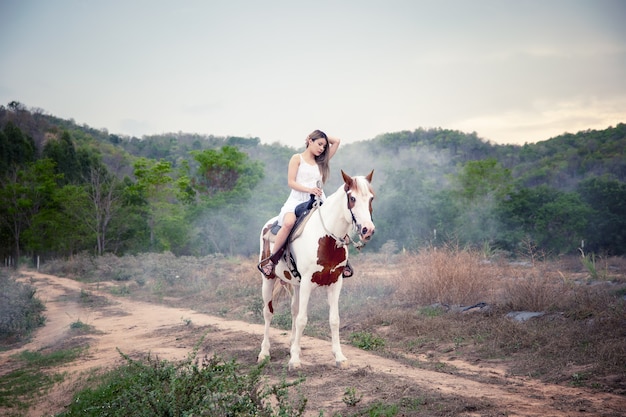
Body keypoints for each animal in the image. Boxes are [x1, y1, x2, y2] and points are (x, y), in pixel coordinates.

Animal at [256, 167, 372, 368]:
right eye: (352, 198)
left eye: (371, 198)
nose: (368, 230)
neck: (326, 238)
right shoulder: (308, 283)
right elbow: (303, 320)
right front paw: (295, 361)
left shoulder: (335, 283)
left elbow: (334, 320)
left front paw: (339, 357)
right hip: (268, 279)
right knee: (268, 313)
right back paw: (264, 353)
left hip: (295, 284)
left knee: (294, 311)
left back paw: (293, 345)